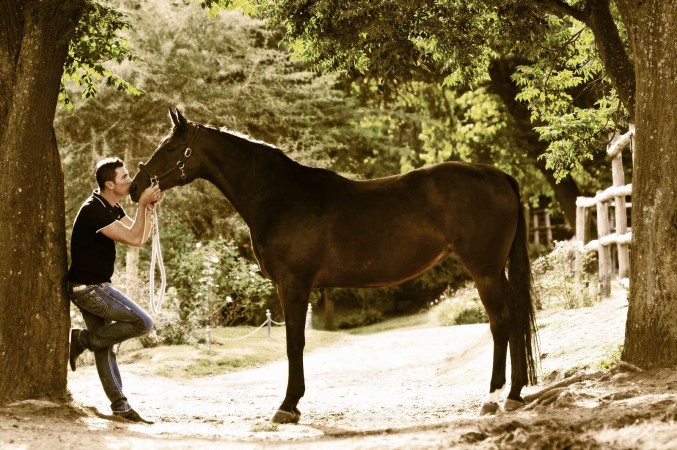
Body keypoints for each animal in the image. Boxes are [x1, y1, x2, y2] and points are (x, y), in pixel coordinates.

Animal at [130, 108, 539, 423]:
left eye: (170, 147)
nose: (135, 188)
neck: (280, 197)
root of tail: (499, 176)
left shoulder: (293, 285)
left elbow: (294, 342)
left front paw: (288, 406)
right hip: (494, 271)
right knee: (515, 319)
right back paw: (515, 394)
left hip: (484, 270)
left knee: (501, 323)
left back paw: (493, 397)